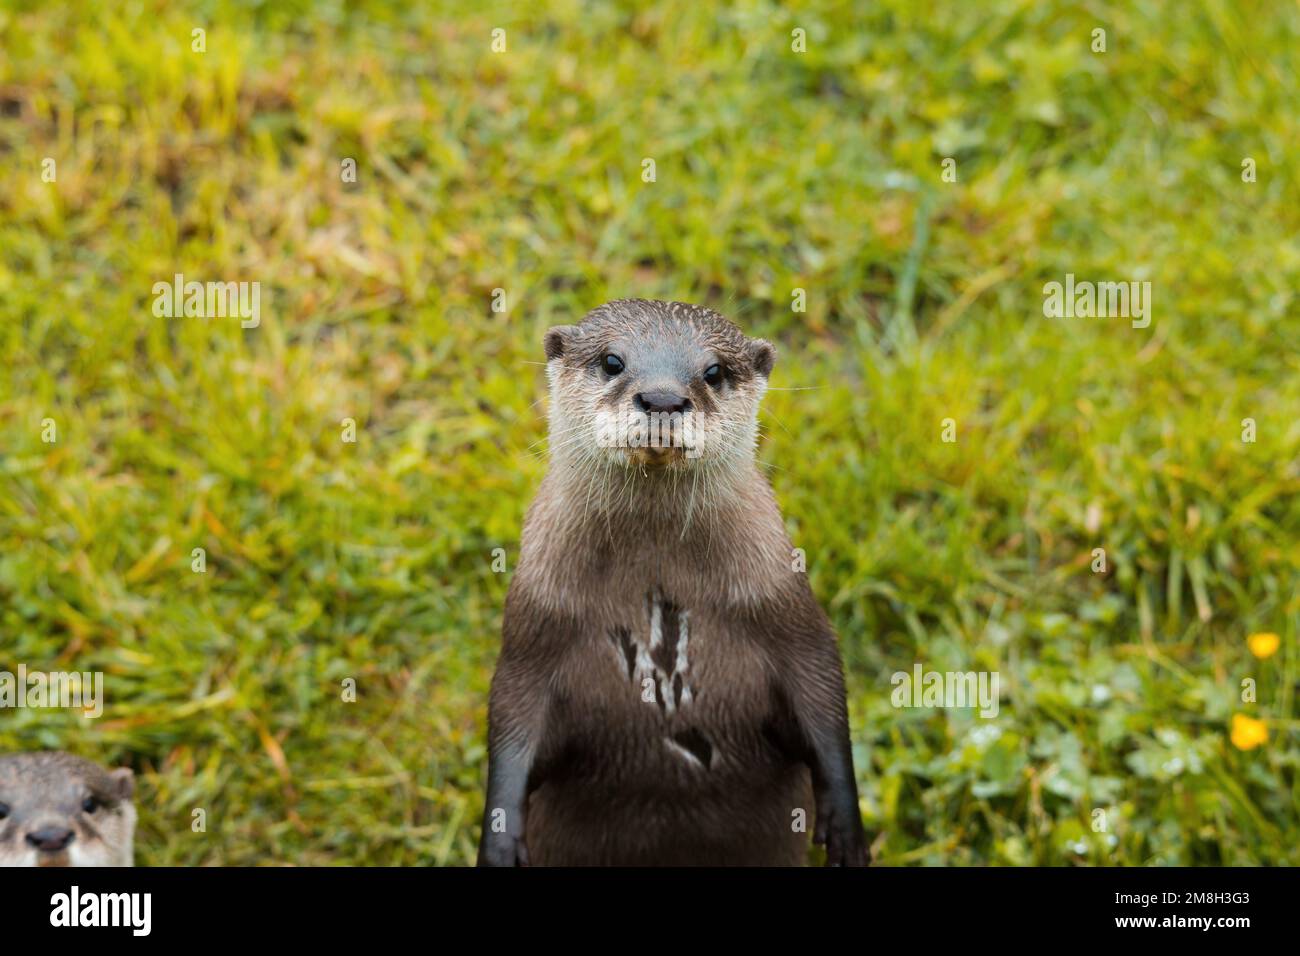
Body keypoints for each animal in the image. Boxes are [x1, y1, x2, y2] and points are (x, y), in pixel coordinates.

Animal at [478, 300, 863, 868]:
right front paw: (501, 840)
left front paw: (845, 824)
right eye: (611, 361)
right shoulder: (535, 629)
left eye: (714, 371)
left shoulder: (786, 612)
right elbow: (512, 724)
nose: (662, 398)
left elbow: (823, 698)